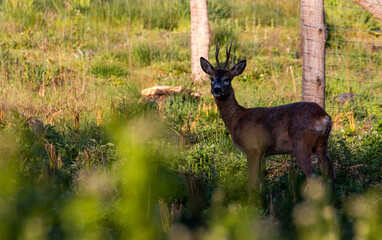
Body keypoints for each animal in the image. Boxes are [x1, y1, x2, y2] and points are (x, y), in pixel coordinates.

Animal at [200, 43, 334, 197]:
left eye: (227, 79)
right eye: (211, 78)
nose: (217, 89)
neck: (236, 119)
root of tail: (324, 117)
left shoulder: (252, 149)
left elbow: (251, 183)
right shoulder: (263, 153)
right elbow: (261, 182)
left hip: (301, 143)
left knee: (314, 177)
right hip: (321, 144)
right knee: (330, 171)